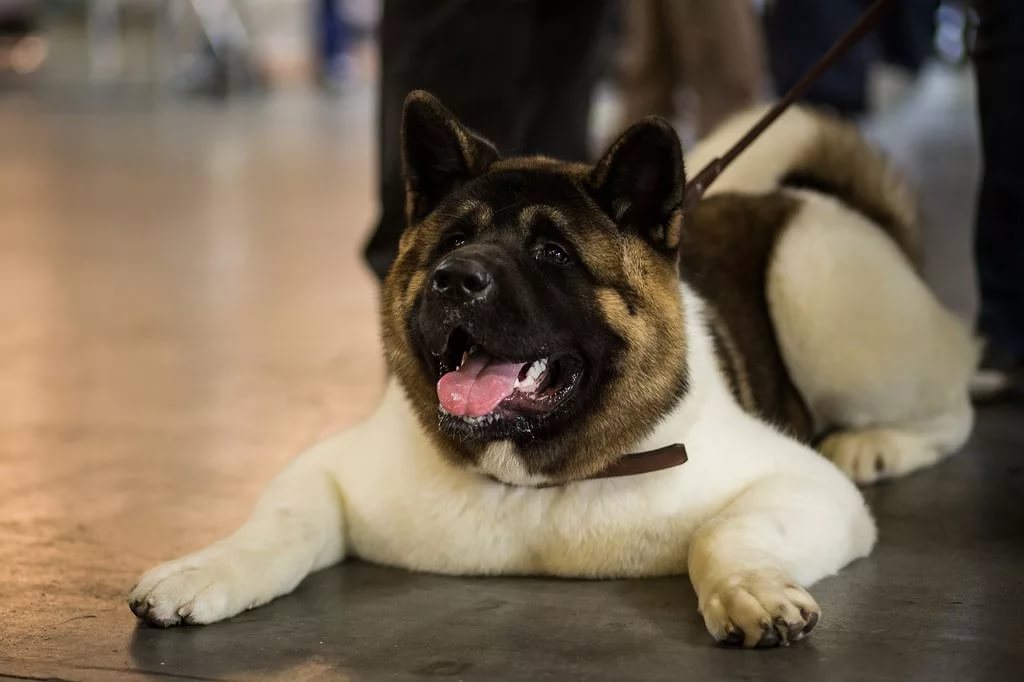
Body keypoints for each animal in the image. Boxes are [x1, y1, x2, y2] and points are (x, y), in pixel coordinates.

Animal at [129, 91, 977, 647]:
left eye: (552, 253)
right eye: (450, 243)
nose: (456, 279)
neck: (533, 484)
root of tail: (812, 200)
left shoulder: (803, 488)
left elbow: (727, 533)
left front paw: (750, 592)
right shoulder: (326, 471)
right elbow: (278, 525)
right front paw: (201, 571)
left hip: (817, 291)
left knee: (954, 400)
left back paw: (878, 444)